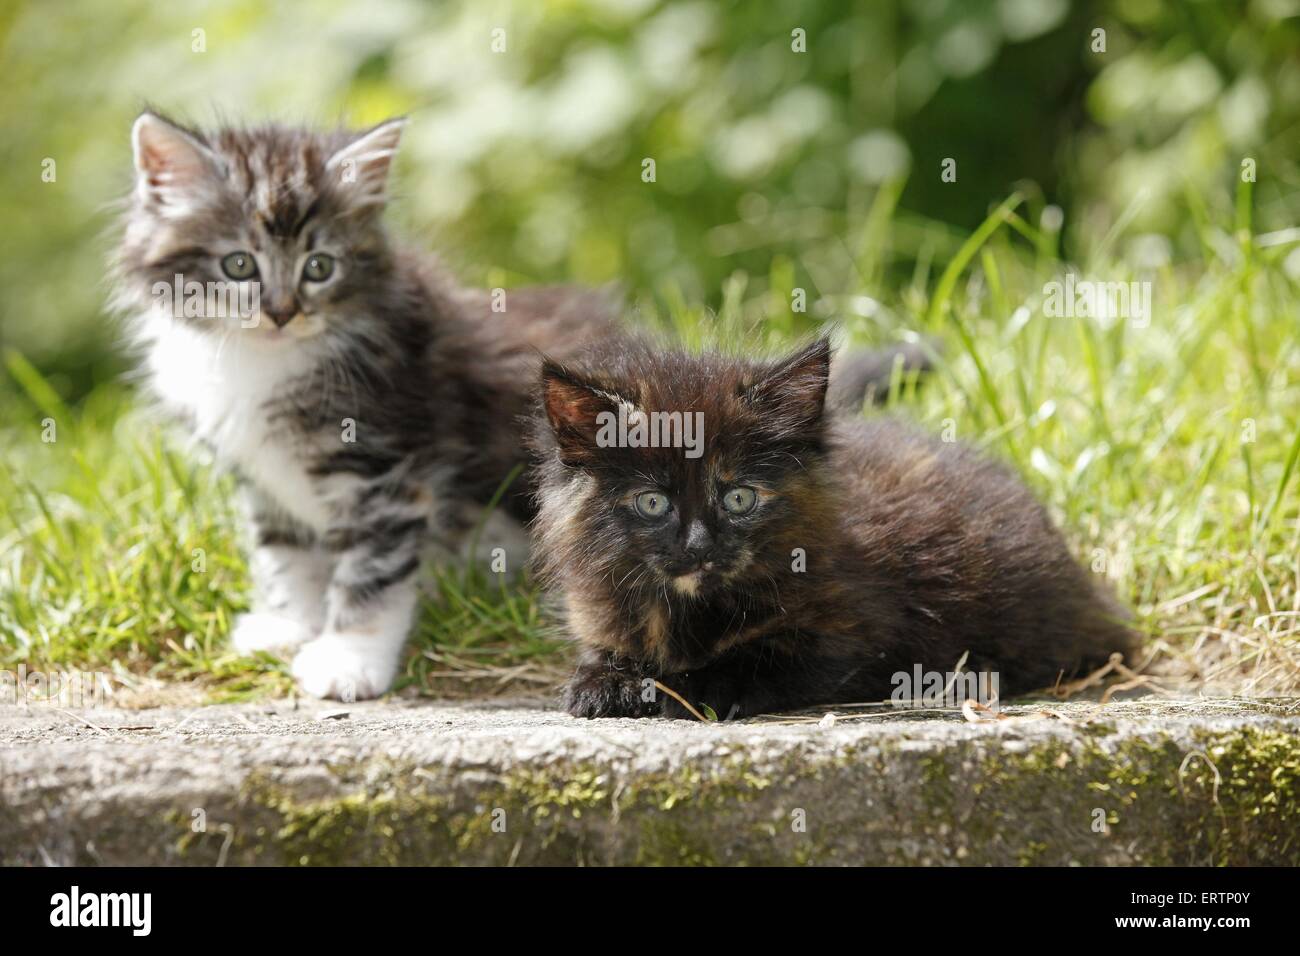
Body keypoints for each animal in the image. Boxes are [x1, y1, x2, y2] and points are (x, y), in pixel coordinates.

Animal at [533, 335, 1133, 717]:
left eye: (739, 496)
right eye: (653, 502)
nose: (700, 546)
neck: (686, 607)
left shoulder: (858, 631)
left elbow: (761, 657)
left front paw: (688, 685)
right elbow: (605, 649)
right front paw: (602, 683)